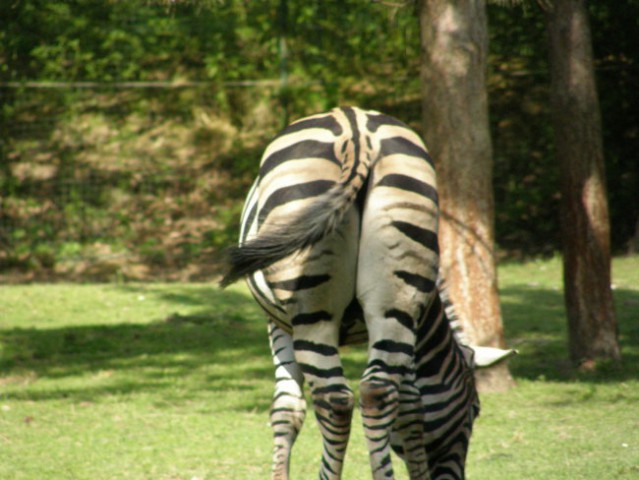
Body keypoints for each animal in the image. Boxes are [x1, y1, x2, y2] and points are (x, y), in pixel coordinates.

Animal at [221, 107, 516, 478]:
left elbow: (287, 407)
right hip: (395, 297)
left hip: (312, 311)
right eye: (474, 409)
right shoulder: (411, 326)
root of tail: (355, 127)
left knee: (336, 400)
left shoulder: (279, 324)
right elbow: (410, 406)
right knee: (377, 390)